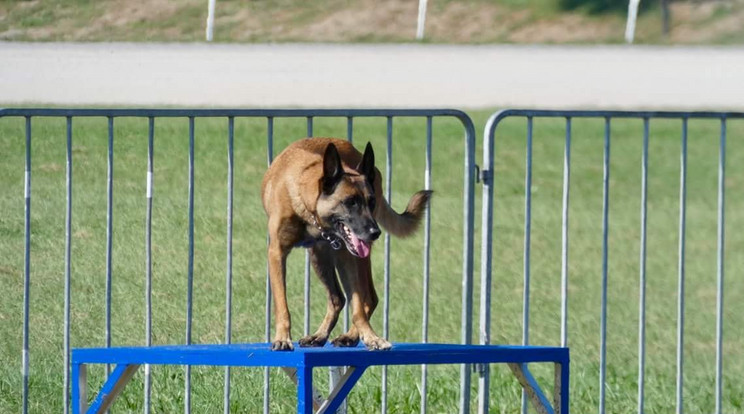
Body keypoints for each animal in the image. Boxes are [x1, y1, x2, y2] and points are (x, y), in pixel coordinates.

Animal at [264, 138, 434, 350]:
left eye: (371, 201)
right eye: (350, 202)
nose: (375, 233)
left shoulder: (347, 257)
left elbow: (358, 307)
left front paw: (371, 337)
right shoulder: (277, 254)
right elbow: (282, 305)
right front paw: (282, 338)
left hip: (353, 259)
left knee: (367, 297)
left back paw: (350, 336)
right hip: (320, 259)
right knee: (337, 298)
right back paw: (320, 336)